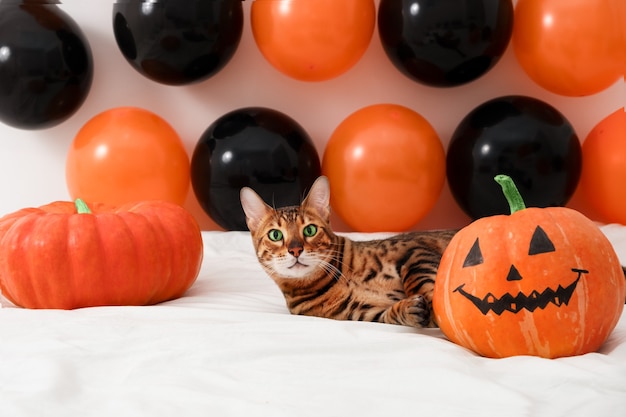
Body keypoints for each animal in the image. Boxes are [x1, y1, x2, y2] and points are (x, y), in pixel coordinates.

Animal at [239, 174, 454, 326]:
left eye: (310, 230)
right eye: (275, 235)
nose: (296, 250)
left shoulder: (413, 250)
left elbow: (422, 283)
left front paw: (437, 309)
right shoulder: (361, 313)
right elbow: (389, 314)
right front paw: (410, 309)